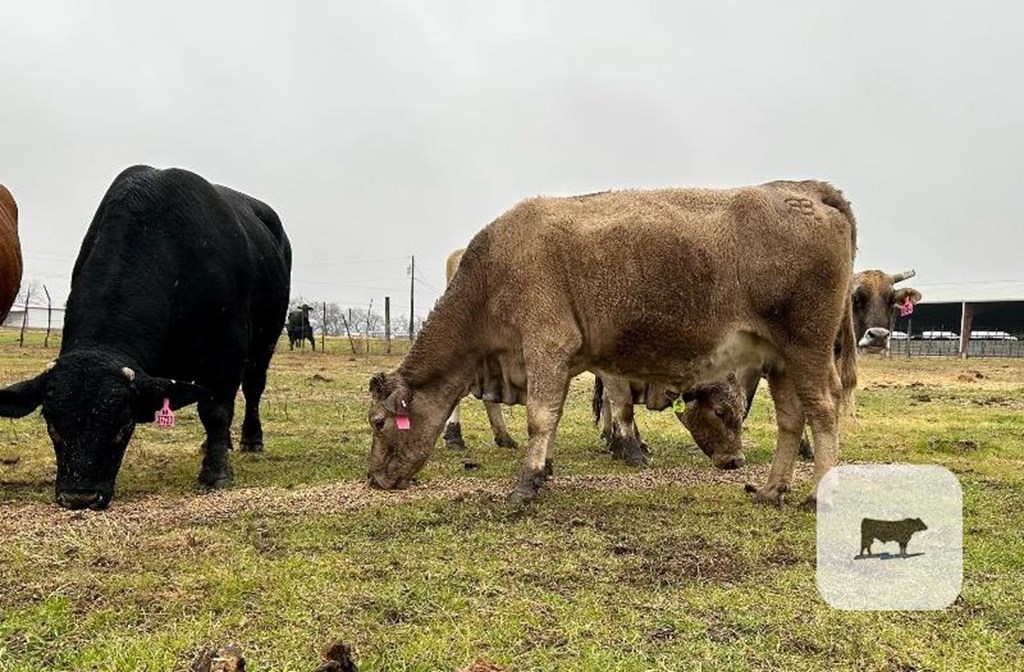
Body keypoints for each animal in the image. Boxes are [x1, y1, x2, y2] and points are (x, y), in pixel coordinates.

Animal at [0, 166, 292, 510]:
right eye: (51, 423)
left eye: (123, 425)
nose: (80, 496)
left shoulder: (227, 348)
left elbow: (216, 410)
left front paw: (215, 473)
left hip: (266, 339)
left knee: (253, 388)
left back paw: (250, 439)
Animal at [368, 181, 856, 506]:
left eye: (377, 422)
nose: (373, 479)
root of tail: (802, 189)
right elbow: (566, 417)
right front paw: (547, 469)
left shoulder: (548, 345)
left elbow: (543, 417)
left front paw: (527, 483)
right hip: (780, 358)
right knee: (791, 418)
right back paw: (772, 489)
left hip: (807, 347)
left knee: (823, 409)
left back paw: (818, 495)